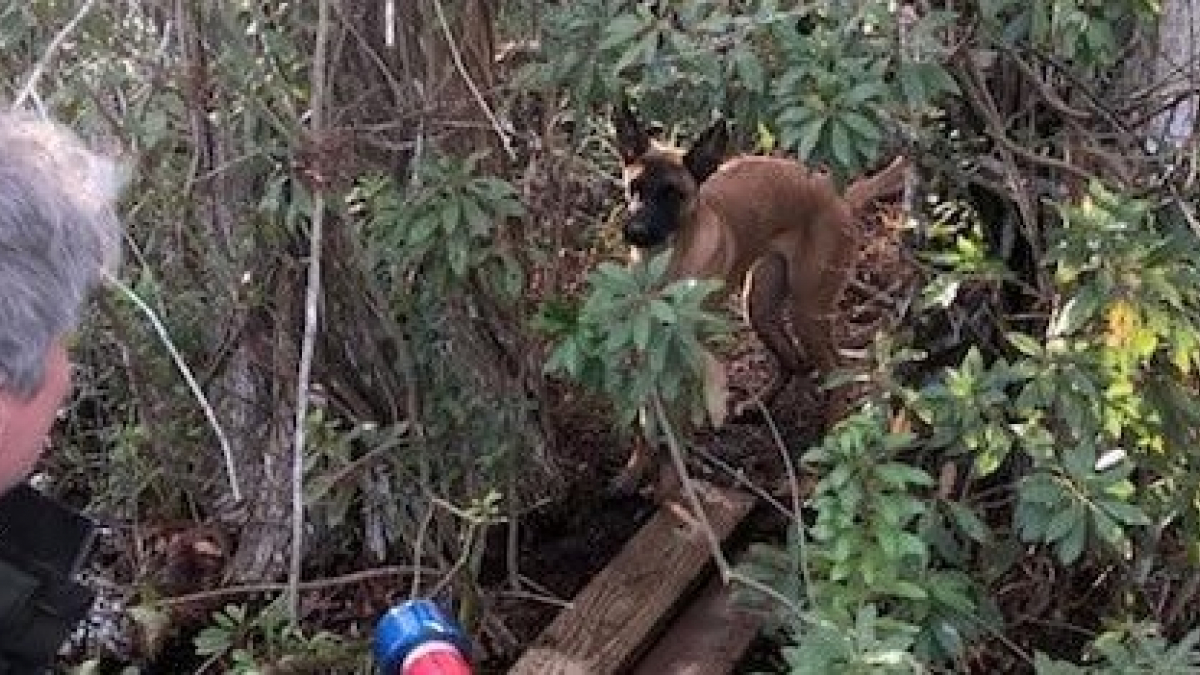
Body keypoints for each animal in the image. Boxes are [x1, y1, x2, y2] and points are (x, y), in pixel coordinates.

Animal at [614, 100, 902, 487]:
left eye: (673, 194)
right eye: (635, 186)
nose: (636, 230)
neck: (664, 266)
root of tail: (836, 194)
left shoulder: (688, 355)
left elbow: (678, 425)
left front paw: (674, 482)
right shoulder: (645, 352)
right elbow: (645, 420)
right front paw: (633, 472)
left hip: (807, 310)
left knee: (837, 372)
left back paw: (832, 439)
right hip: (759, 306)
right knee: (793, 361)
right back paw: (757, 405)